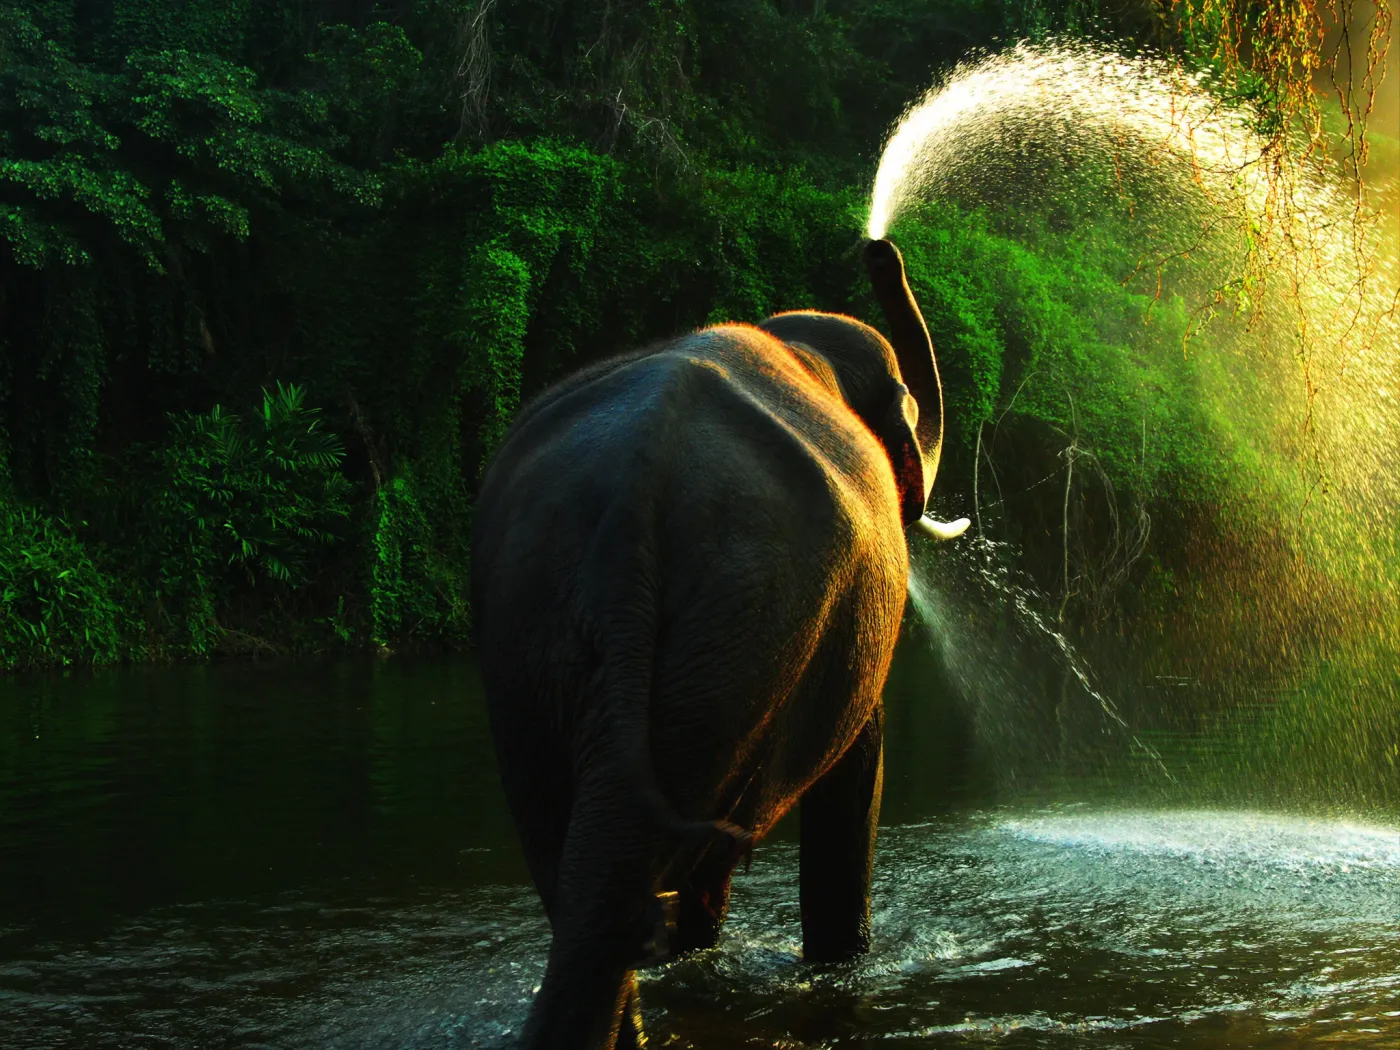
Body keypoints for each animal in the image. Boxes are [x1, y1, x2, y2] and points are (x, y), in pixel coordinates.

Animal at [471, 239, 965, 1049]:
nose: (878, 248)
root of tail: (632, 495)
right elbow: (857, 766)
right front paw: (840, 962)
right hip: (737, 634)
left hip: (541, 643)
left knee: (589, 878)